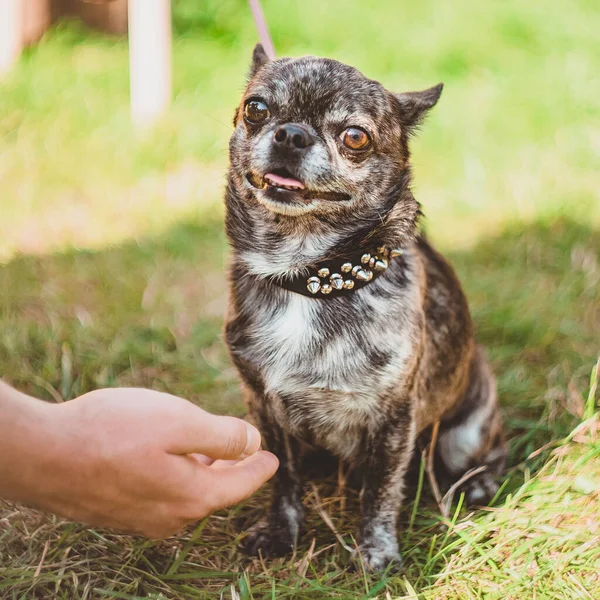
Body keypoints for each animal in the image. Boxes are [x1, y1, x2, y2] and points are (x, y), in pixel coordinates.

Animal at [225, 44, 506, 568]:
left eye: (355, 137)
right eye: (256, 109)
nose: (292, 134)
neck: (309, 276)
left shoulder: (393, 418)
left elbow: (380, 488)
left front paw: (376, 552)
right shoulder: (264, 407)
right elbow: (282, 475)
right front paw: (279, 532)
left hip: (466, 433)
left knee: (487, 454)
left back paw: (478, 485)